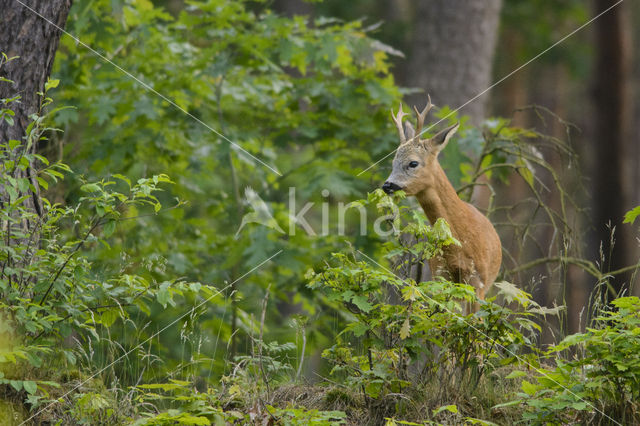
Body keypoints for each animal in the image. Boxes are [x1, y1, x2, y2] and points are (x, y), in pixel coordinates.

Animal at [382, 96, 502, 304]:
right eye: (392, 162)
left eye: (413, 163)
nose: (387, 185)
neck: (461, 246)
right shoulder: (439, 275)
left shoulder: (478, 281)